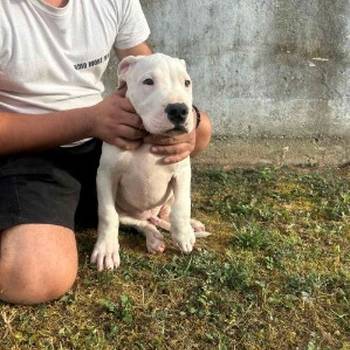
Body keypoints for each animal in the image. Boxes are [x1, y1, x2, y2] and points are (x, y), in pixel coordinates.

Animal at [91, 52, 209, 270]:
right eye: (148, 81)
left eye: (187, 82)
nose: (178, 110)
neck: (148, 137)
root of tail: (150, 214)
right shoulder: (106, 175)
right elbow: (107, 215)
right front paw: (106, 250)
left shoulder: (182, 171)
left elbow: (182, 206)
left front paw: (183, 235)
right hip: (126, 212)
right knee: (139, 223)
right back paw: (153, 238)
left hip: (167, 200)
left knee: (167, 214)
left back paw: (191, 225)